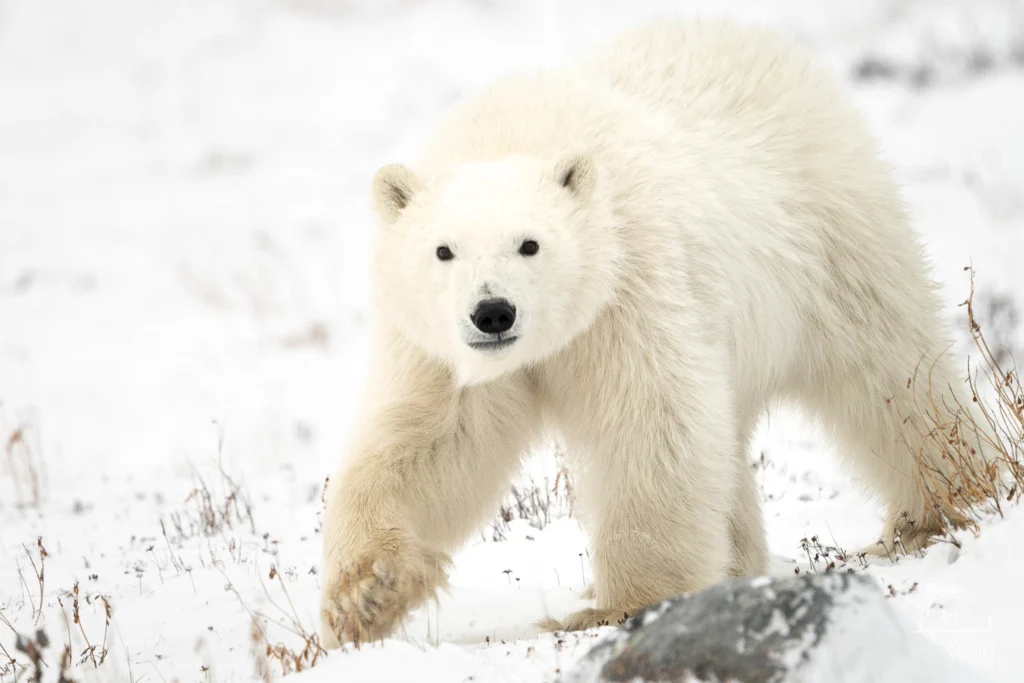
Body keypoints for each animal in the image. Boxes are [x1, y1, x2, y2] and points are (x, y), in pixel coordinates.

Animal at [319, 18, 977, 647]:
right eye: (443, 250)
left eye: (530, 244)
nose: (493, 312)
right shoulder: (441, 350)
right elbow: (433, 442)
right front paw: (365, 595)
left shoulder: (630, 287)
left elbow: (649, 425)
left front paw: (623, 604)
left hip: (830, 237)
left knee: (889, 372)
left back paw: (940, 507)